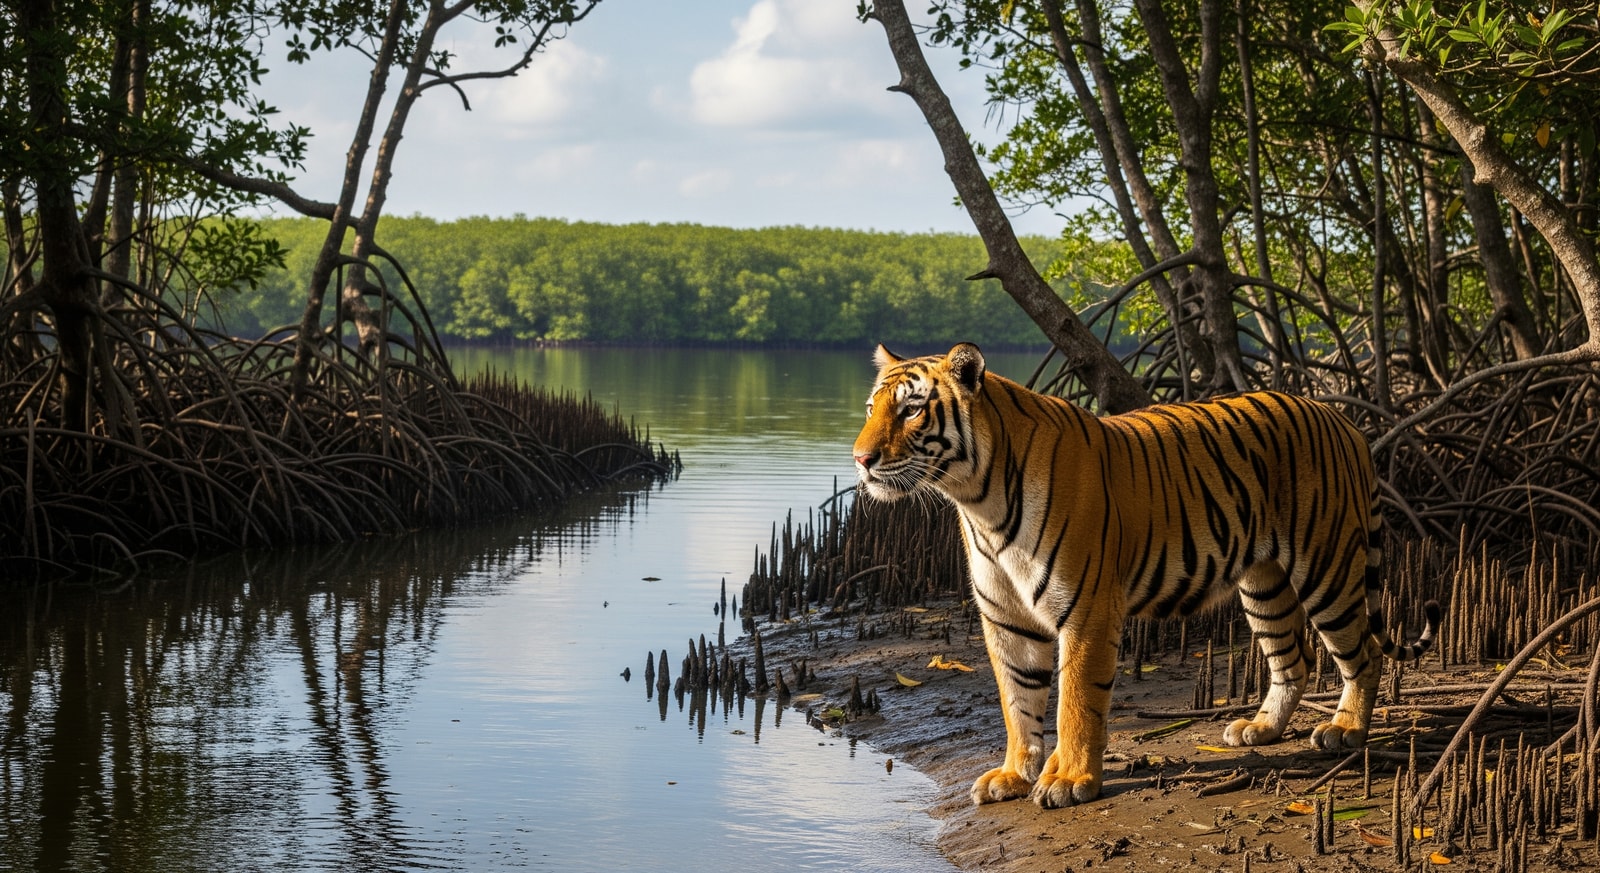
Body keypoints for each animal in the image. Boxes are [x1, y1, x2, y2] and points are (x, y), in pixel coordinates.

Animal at [851, 343, 1439, 809]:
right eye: (872, 408)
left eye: (911, 410)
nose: (860, 459)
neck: (978, 500)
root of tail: (1345, 421)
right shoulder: (1006, 618)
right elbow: (1018, 702)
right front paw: (1014, 776)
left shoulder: (1085, 610)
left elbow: (1074, 702)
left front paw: (1068, 781)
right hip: (1264, 581)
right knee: (1293, 659)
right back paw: (1261, 728)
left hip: (1327, 569)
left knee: (1363, 654)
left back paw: (1344, 731)